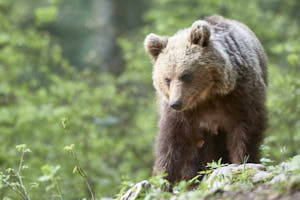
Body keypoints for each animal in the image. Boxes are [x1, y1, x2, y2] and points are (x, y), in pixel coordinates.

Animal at [143, 15, 268, 183]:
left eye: (185, 75)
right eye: (167, 79)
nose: (176, 103)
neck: (207, 96)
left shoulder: (240, 93)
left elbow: (246, 128)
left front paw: (243, 163)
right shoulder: (182, 114)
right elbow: (172, 140)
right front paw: (163, 179)